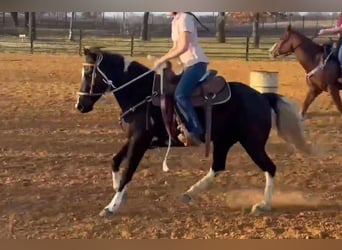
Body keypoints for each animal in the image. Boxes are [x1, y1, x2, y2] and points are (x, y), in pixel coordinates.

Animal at [75, 47, 312, 217]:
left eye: (89, 72)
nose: (80, 105)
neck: (142, 93)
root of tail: (262, 97)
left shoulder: (140, 140)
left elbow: (127, 172)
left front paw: (111, 206)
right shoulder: (134, 138)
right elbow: (115, 161)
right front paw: (117, 192)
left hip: (252, 143)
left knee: (270, 168)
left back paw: (263, 205)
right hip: (224, 141)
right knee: (218, 166)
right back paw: (189, 194)